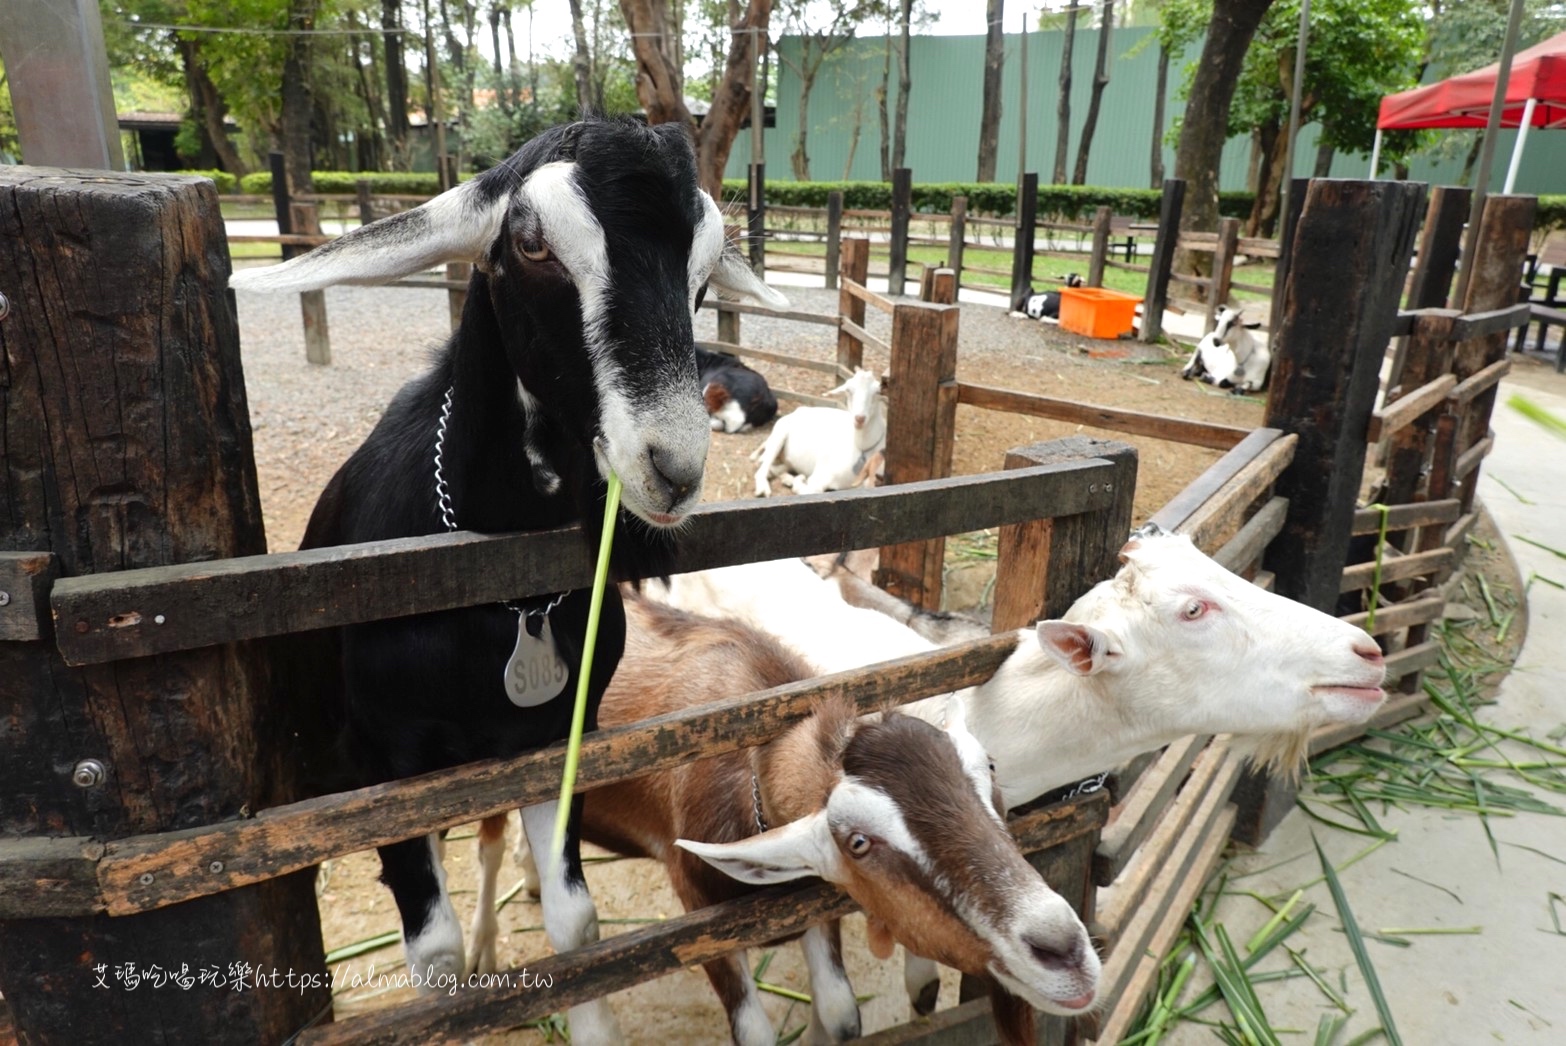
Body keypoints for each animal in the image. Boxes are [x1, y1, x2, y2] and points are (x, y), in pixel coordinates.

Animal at [230, 118, 783, 1039]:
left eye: (705, 269)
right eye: (530, 244)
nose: (672, 469)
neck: (494, 585)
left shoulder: (550, 739)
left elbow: (576, 920)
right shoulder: (383, 765)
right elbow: (434, 955)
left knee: (490, 841)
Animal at [751, 367, 889, 497]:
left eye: (877, 392)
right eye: (848, 390)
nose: (860, 418)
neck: (862, 448)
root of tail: (799, 410)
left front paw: (791, 479)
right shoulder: (820, 476)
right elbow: (809, 489)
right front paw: (798, 480)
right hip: (779, 433)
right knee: (762, 466)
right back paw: (763, 488)